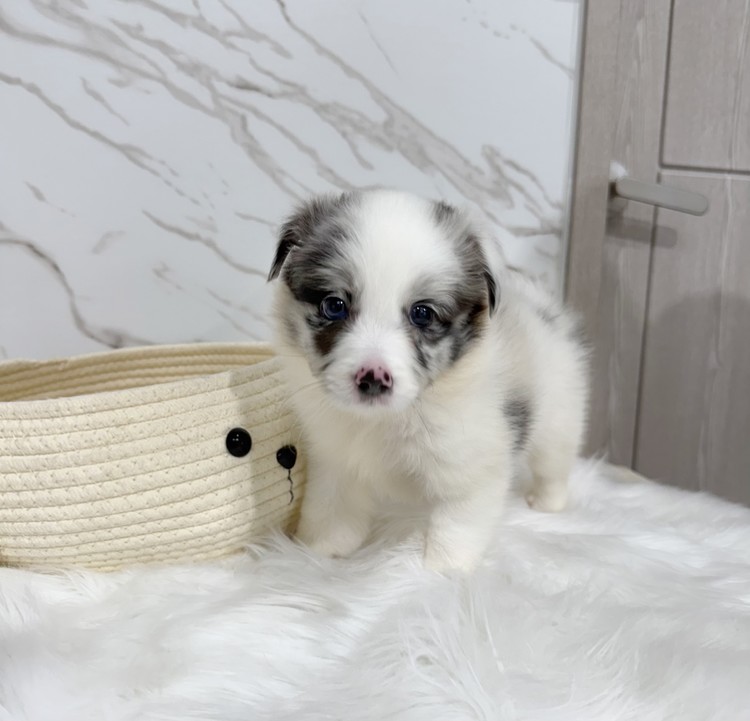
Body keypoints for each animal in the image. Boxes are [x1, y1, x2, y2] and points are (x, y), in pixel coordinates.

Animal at [268, 189, 588, 572]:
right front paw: (317, 555)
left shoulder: (471, 470)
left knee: (553, 463)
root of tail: (539, 306)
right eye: (334, 306)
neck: (389, 419)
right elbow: (332, 512)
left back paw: (545, 502)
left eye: (422, 313)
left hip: (559, 417)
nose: (373, 379)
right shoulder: (335, 460)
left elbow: (455, 529)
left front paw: (439, 573)